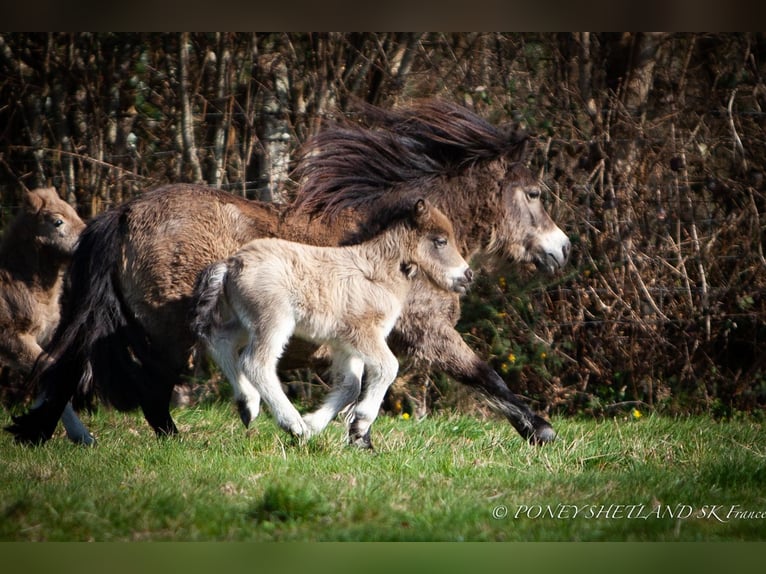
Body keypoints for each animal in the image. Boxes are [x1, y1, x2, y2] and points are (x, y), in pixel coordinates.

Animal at [191, 197, 472, 447]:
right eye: (440, 241)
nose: (468, 275)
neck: (378, 273)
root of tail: (231, 264)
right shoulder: (364, 332)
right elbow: (388, 367)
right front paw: (359, 424)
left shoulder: (344, 343)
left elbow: (350, 386)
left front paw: (317, 425)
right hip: (272, 320)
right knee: (255, 363)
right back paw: (292, 424)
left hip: (242, 321)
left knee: (219, 341)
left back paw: (248, 406)